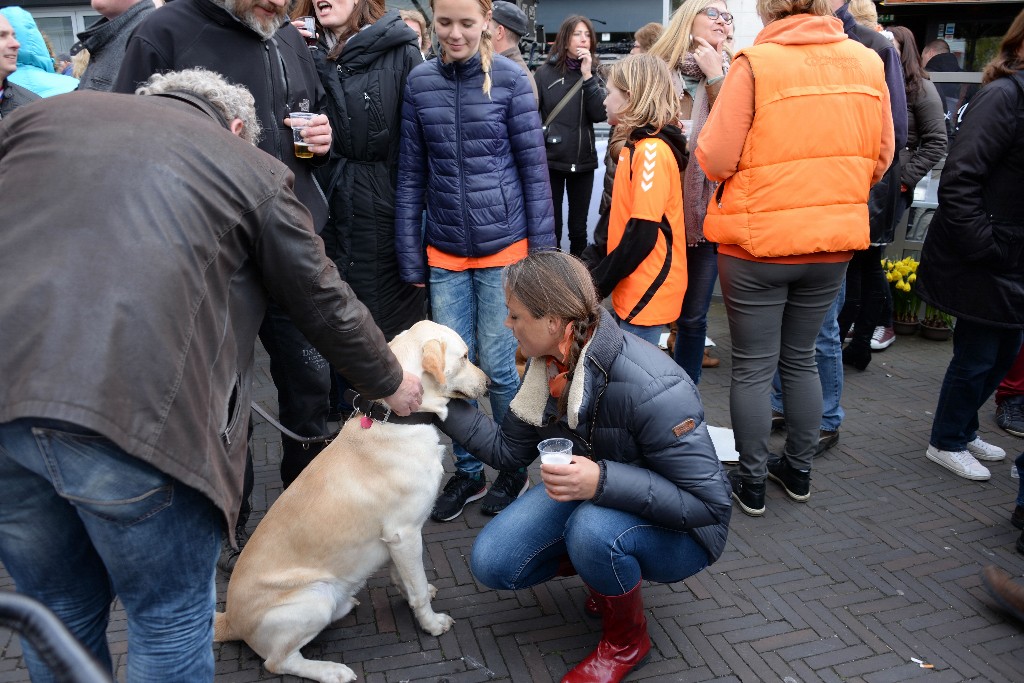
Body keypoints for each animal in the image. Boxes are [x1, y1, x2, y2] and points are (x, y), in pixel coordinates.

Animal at [214, 321, 489, 683]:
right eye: (466, 355)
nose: (489, 383)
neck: (396, 419)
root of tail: (229, 618)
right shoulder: (405, 533)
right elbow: (415, 588)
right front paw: (431, 623)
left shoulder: (395, 540)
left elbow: (405, 578)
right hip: (313, 598)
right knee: (277, 661)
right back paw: (332, 670)